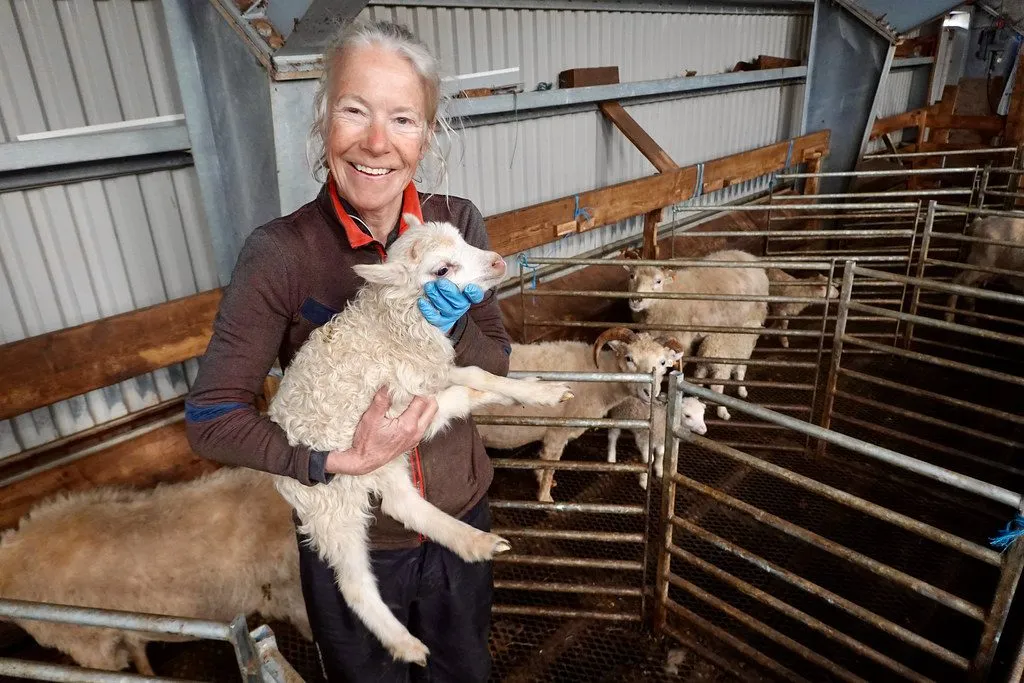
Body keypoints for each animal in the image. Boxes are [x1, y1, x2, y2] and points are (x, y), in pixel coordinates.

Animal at [267, 214, 574, 666]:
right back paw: (405, 644)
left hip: (382, 463)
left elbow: (476, 375)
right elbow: (467, 385)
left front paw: (537, 392)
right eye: (441, 270)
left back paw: (475, 542)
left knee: (402, 505)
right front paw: (519, 394)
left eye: (464, 239)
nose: (498, 262)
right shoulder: (401, 403)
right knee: (354, 582)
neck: (395, 326)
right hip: (333, 499)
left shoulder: (425, 376)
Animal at [473, 327, 687, 501]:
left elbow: (543, 463)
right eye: (629, 358)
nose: (649, 392)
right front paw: (545, 498)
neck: (601, 376)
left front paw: (542, 480)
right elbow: (550, 466)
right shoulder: (557, 432)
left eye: (662, 362)